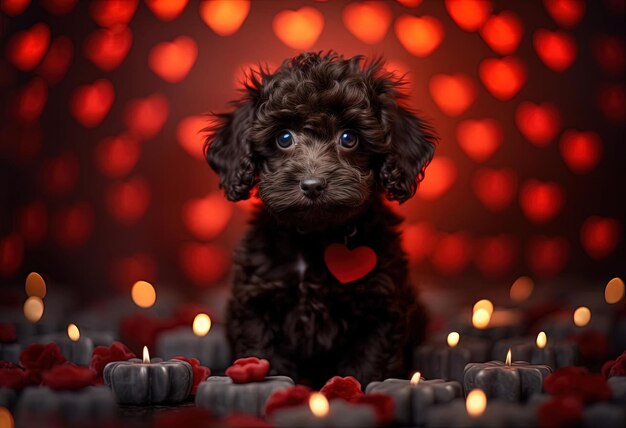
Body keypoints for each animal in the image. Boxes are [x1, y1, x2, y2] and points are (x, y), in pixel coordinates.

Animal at [205, 51, 434, 388]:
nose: (313, 185)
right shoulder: (256, 304)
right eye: (283, 138)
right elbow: (266, 354)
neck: (316, 238)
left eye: (349, 138)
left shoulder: (382, 309)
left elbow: (367, 364)